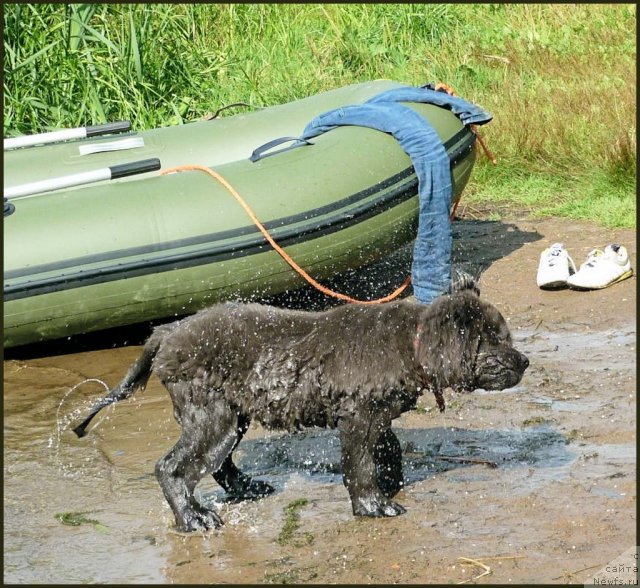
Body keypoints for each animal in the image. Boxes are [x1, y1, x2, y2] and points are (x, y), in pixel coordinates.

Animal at [72, 284, 528, 532]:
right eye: (494, 339)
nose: (524, 361)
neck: (412, 343)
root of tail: (166, 334)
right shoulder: (358, 418)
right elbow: (360, 465)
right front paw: (375, 507)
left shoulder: (378, 417)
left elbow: (389, 450)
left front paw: (391, 484)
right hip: (211, 415)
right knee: (172, 467)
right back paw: (195, 520)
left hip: (230, 417)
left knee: (218, 464)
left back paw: (249, 490)